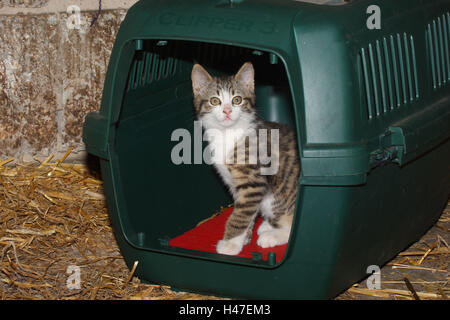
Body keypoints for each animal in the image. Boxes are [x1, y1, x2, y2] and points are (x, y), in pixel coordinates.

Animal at [190, 62, 298, 255]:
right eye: (214, 101)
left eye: (237, 100)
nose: (227, 111)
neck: (228, 134)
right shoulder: (236, 184)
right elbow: (245, 210)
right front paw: (243, 238)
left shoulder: (253, 181)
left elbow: (240, 214)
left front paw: (230, 244)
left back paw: (272, 235)